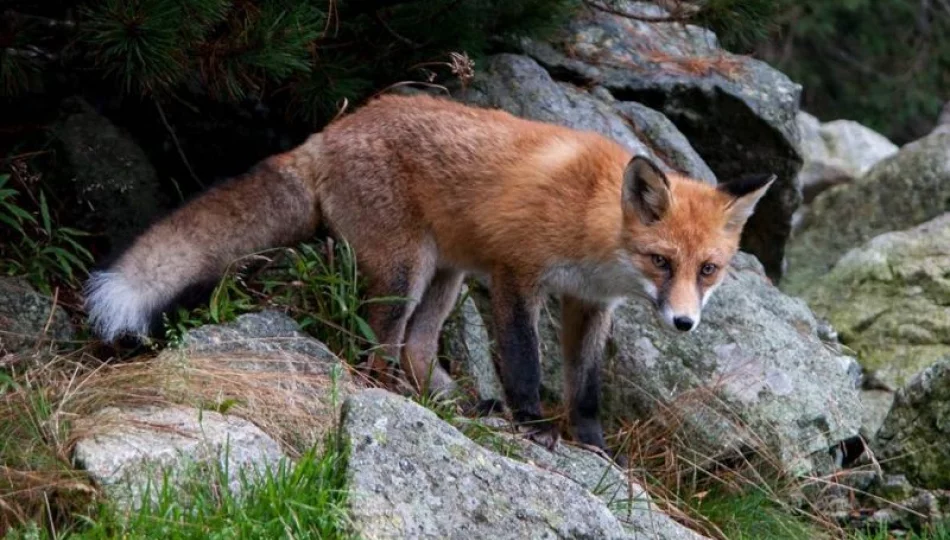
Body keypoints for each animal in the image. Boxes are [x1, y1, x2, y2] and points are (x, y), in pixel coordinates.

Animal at [85, 95, 776, 454]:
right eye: (662, 261)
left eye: (708, 270)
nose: (684, 324)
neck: (593, 222)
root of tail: (327, 133)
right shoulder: (515, 277)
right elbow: (524, 362)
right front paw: (532, 424)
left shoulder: (589, 305)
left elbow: (586, 385)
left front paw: (591, 442)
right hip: (407, 271)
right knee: (375, 348)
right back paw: (397, 396)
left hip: (445, 277)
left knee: (416, 349)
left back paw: (449, 401)